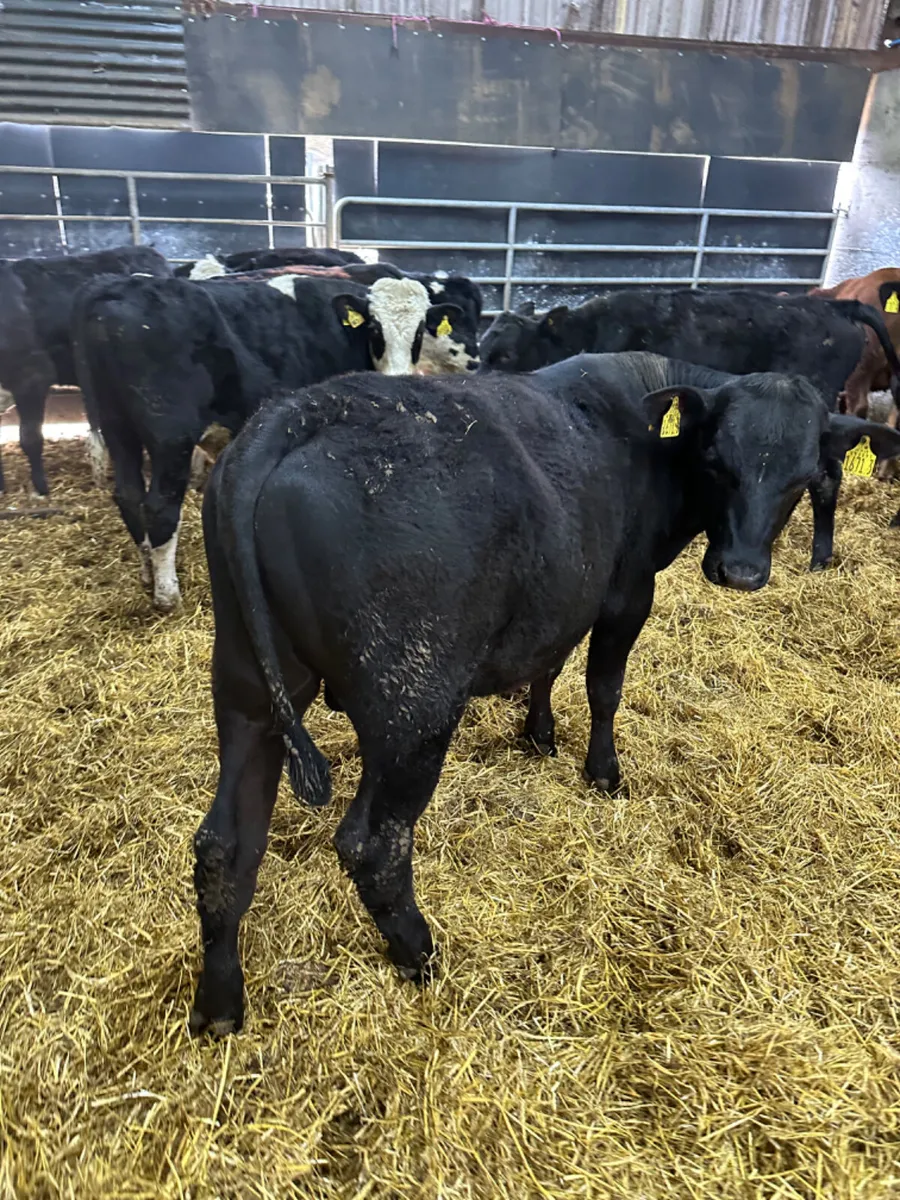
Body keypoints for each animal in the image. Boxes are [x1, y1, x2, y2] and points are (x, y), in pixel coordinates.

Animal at [73, 271, 467, 611]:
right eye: (374, 327)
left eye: (420, 331)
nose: (398, 377)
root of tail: (115, 289)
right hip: (170, 436)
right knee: (159, 507)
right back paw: (167, 595)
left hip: (117, 426)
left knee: (128, 495)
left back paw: (147, 574)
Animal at [189, 350, 900, 1035]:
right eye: (716, 462)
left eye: (803, 476)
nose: (742, 571)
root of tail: (301, 412)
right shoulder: (625, 594)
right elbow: (604, 687)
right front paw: (603, 772)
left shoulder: (564, 597)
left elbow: (549, 665)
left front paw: (538, 734)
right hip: (413, 712)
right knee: (375, 847)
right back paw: (421, 954)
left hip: (250, 693)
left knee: (225, 847)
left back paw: (221, 1004)